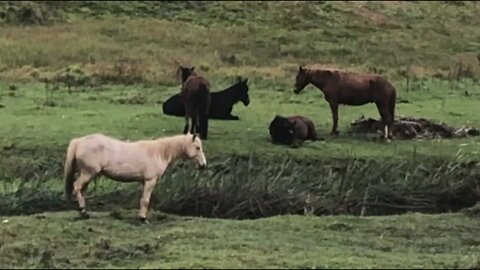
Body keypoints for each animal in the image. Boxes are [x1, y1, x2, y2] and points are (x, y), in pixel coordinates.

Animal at [63, 132, 206, 223]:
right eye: (197, 147)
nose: (203, 165)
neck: (159, 152)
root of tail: (78, 142)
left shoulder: (144, 182)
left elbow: (143, 199)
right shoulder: (150, 181)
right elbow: (146, 200)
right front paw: (143, 218)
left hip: (88, 175)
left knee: (81, 190)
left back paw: (84, 212)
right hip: (88, 173)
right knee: (77, 187)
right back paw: (83, 211)